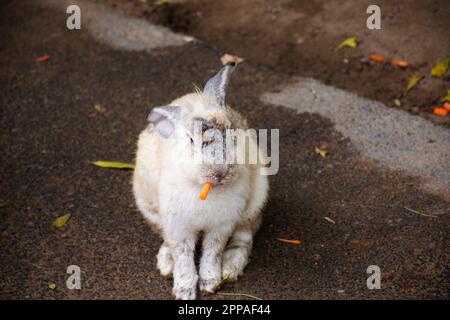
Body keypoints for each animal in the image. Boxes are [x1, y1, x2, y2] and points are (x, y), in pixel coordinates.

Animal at [132, 62, 268, 300]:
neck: (205, 187)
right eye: (191, 140)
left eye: (230, 130)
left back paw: (230, 268)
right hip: (150, 208)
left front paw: (210, 283)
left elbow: (213, 251)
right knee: (166, 239)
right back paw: (166, 264)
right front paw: (184, 291)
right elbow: (183, 254)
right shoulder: (178, 226)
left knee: (244, 237)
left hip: (254, 203)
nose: (221, 172)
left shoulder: (222, 225)